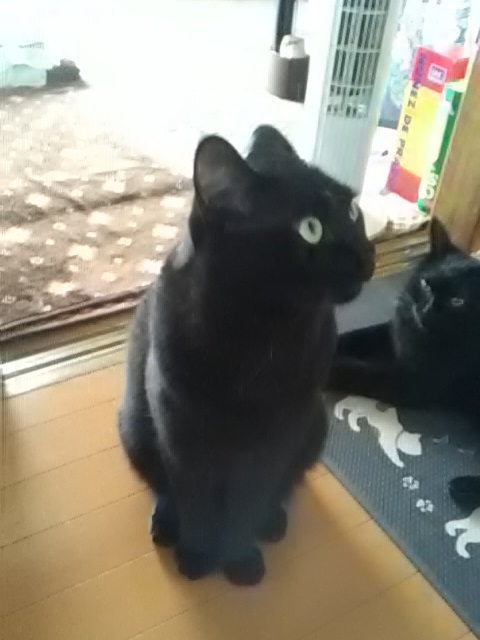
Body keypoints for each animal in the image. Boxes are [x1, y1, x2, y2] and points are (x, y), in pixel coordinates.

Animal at [118, 125, 375, 585]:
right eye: (310, 229)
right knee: (164, 487)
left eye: (352, 211)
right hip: (134, 425)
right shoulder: (180, 429)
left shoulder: (277, 434)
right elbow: (195, 498)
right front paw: (199, 557)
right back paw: (166, 524)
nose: (367, 255)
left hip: (314, 426)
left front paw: (239, 560)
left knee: (282, 485)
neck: (257, 335)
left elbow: (251, 496)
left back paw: (271, 521)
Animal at [328, 218, 480, 511]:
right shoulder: (392, 334)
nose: (425, 309)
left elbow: (359, 371)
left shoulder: (411, 383)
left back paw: (464, 489)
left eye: (457, 301)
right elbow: (355, 337)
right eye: (426, 284)